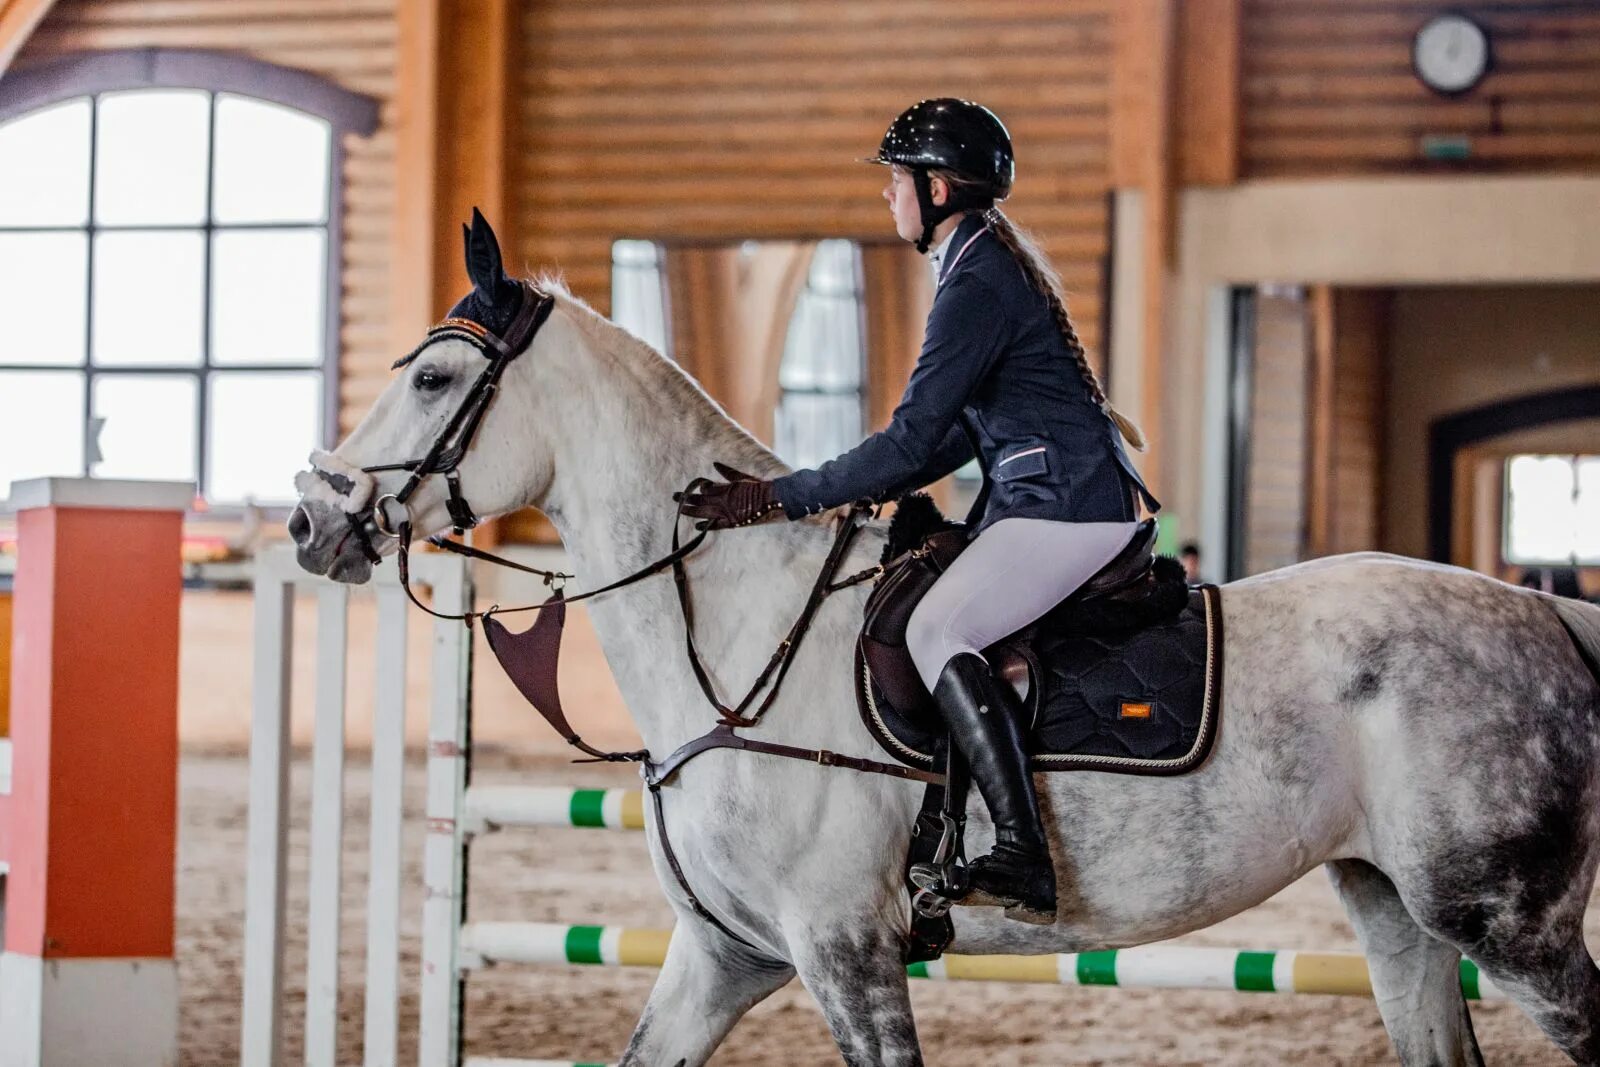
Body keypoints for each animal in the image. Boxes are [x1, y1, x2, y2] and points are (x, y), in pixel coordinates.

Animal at [294, 219, 1600, 1067]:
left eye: (437, 376)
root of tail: (1544, 611)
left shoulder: (847, 951)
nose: (314, 522)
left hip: (1513, 924)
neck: (739, 630)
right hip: (1401, 910)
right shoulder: (722, 954)